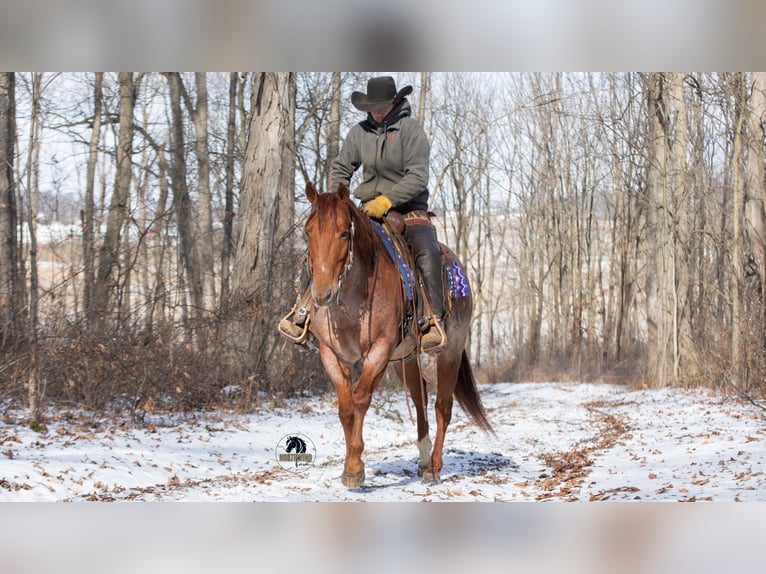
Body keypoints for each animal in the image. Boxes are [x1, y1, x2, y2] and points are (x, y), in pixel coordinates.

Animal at [303, 181, 492, 487]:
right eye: (308, 232)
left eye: (344, 232)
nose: (322, 294)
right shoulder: (332, 354)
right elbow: (345, 407)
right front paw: (349, 464)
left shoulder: (379, 350)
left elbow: (360, 399)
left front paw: (355, 467)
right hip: (406, 360)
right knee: (419, 400)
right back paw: (424, 459)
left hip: (449, 352)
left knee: (443, 406)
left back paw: (433, 468)